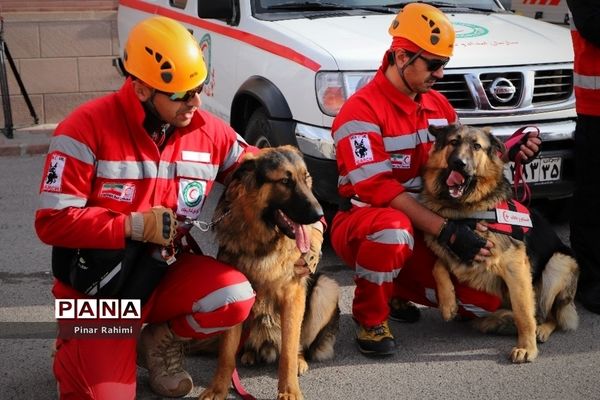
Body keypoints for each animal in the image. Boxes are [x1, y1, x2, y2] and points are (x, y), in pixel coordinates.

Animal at [199, 146, 340, 400]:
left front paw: (289, 390)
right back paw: (248, 354)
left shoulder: (293, 297)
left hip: (327, 288)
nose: (320, 214)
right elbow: (226, 353)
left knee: (299, 345)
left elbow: (289, 350)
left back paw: (299, 360)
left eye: (306, 179)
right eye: (285, 181)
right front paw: (218, 388)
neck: (264, 241)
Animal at [420, 124, 580, 362]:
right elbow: (437, 265)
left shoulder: (516, 269)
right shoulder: (457, 248)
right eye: (453, 142)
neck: (466, 211)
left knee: (548, 314)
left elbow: (524, 313)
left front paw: (527, 347)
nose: (459, 163)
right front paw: (447, 303)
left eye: (477, 146)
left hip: (559, 262)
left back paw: (539, 328)